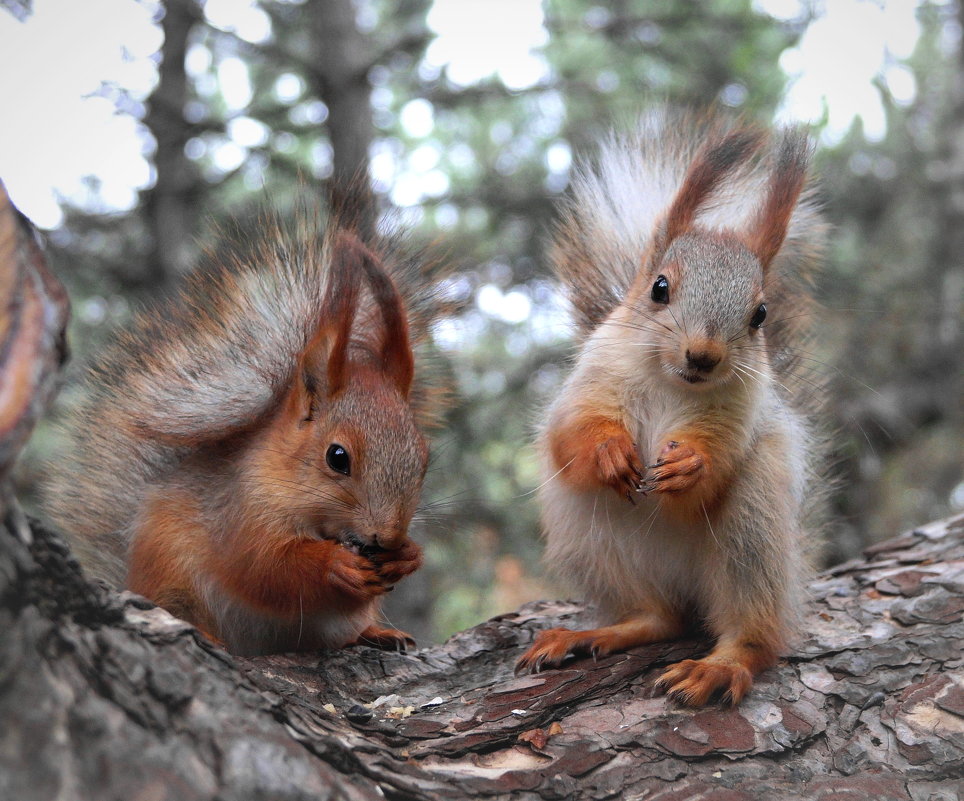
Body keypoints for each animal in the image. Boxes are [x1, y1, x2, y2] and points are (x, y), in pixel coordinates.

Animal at [43, 212, 450, 656]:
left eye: (425, 459)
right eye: (337, 457)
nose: (387, 535)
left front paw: (408, 556)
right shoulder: (239, 510)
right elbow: (264, 569)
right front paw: (335, 564)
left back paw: (375, 633)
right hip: (168, 571)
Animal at [520, 109, 828, 704]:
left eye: (760, 314)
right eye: (659, 288)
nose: (703, 356)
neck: (672, 384)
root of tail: (687, 591)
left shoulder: (737, 415)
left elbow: (711, 471)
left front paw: (690, 464)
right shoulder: (590, 382)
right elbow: (571, 435)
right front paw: (610, 451)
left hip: (752, 531)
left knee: (752, 634)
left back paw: (719, 667)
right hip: (592, 539)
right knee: (658, 617)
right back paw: (592, 634)